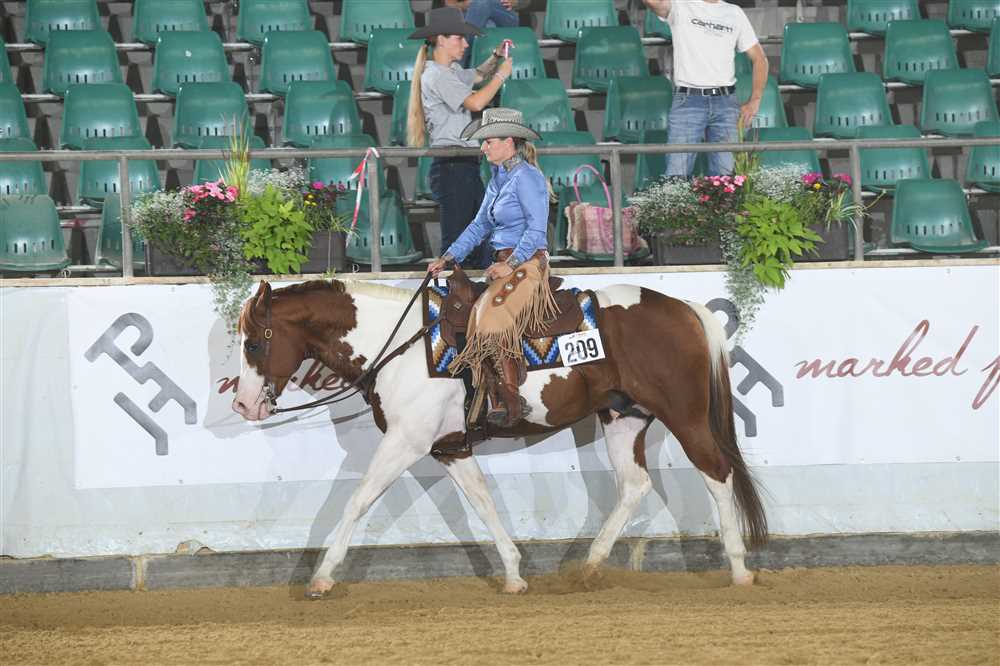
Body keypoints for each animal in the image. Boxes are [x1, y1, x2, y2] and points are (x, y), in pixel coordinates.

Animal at [231, 278, 768, 598]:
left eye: (254, 343)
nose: (242, 405)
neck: (402, 346)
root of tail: (683, 308)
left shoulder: (407, 442)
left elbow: (358, 500)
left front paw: (322, 577)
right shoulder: (450, 446)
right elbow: (483, 503)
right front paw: (512, 573)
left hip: (685, 415)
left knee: (717, 474)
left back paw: (739, 568)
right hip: (623, 417)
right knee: (635, 485)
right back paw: (588, 566)